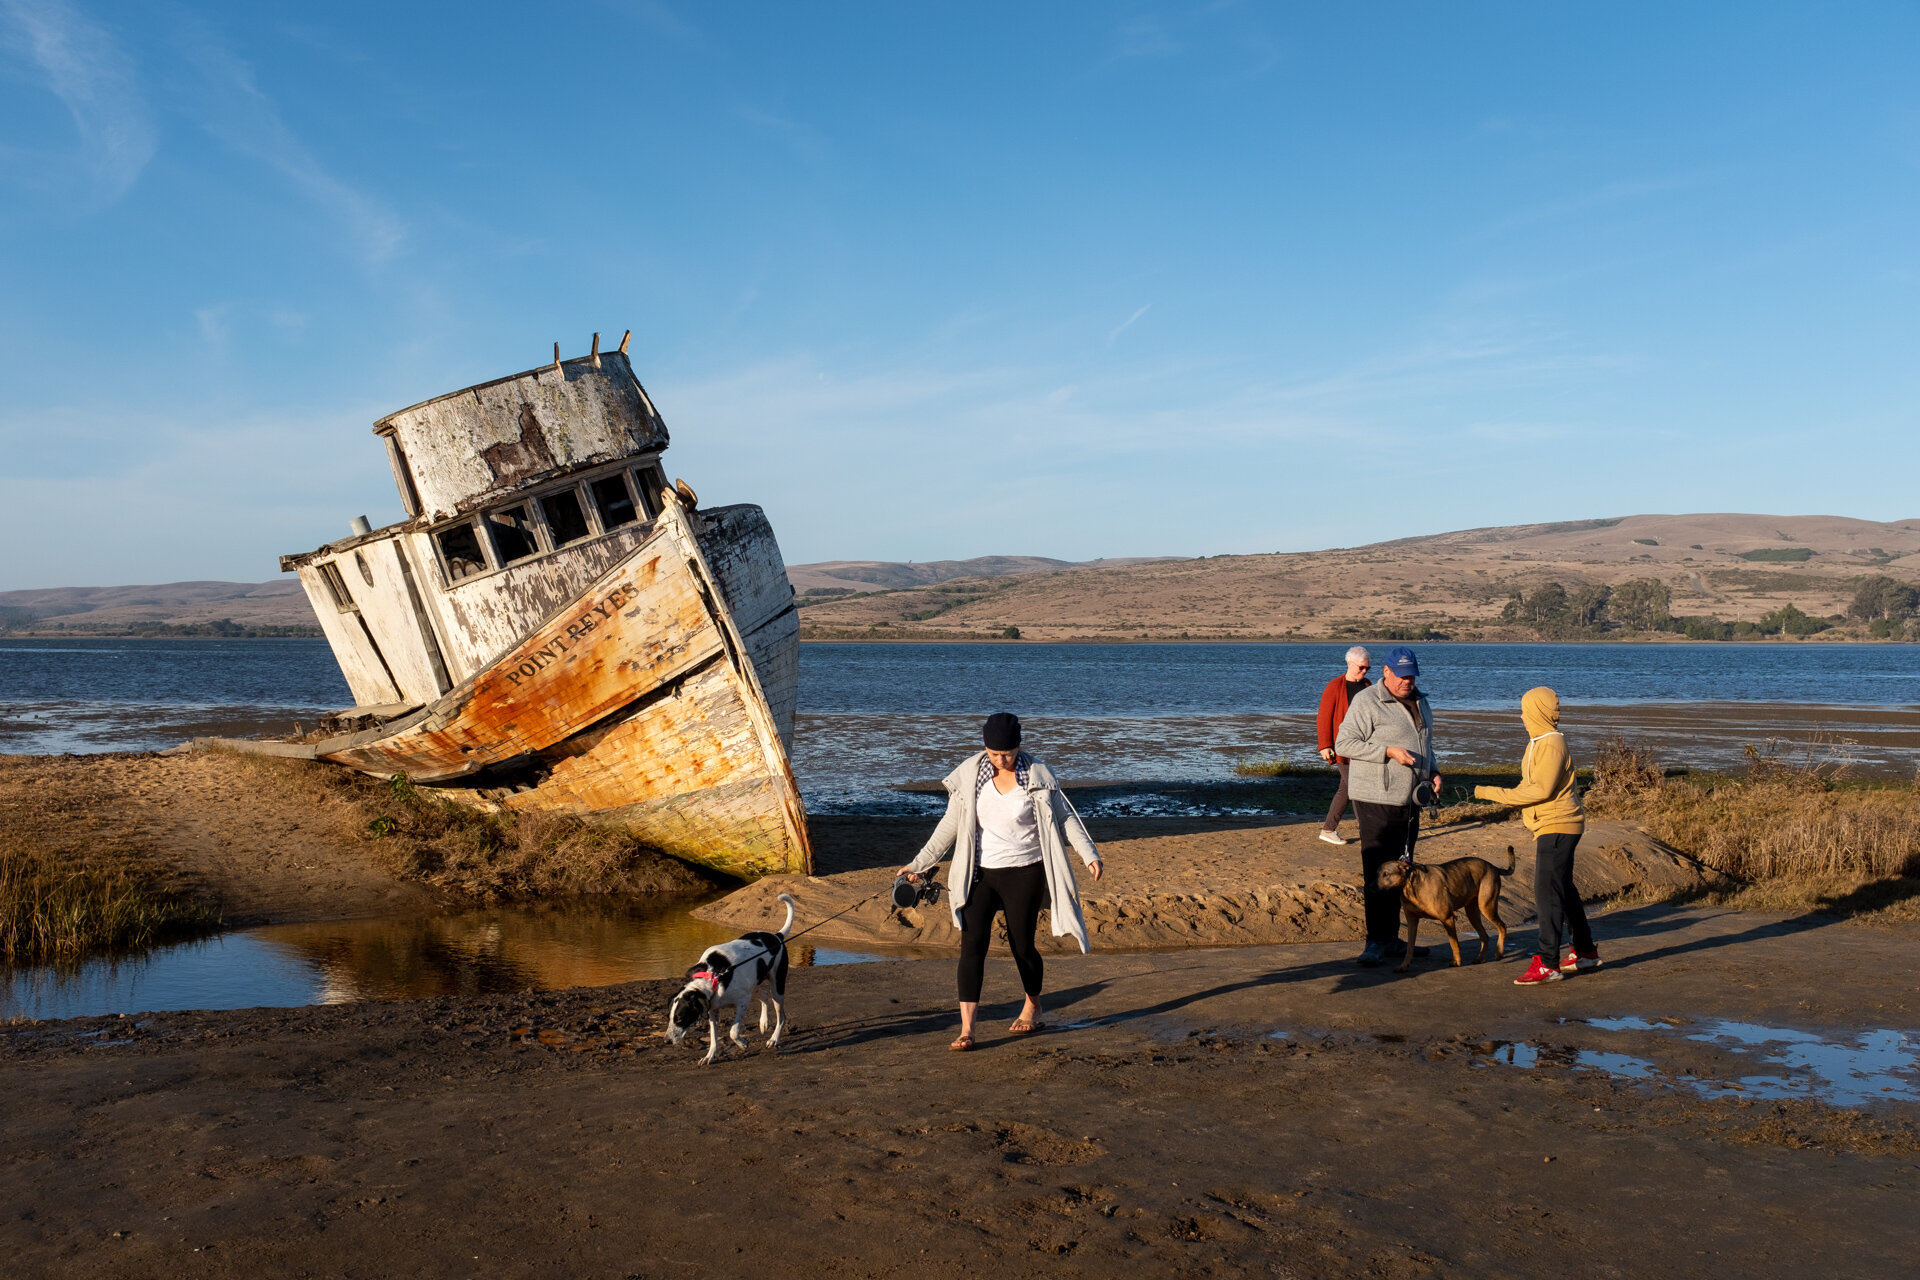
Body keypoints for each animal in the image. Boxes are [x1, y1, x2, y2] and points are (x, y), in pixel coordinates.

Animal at [668, 898, 794, 1066]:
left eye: (680, 1018)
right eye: (669, 1017)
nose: (666, 1041)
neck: (713, 974)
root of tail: (776, 936)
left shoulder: (743, 1001)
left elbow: (733, 1032)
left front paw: (742, 1043)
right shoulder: (713, 1010)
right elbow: (714, 1038)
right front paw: (710, 1056)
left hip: (777, 987)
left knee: (781, 1016)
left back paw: (774, 1039)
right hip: (754, 985)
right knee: (764, 995)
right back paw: (763, 1023)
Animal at [1382, 852, 1512, 971]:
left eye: (1386, 874)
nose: (1375, 887)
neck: (1411, 885)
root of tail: (1493, 866)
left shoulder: (1447, 918)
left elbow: (1454, 943)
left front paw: (1457, 962)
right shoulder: (1412, 921)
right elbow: (1409, 947)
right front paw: (1404, 965)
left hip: (1486, 907)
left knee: (1502, 926)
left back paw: (1499, 953)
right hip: (1472, 913)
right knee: (1485, 936)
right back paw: (1480, 958)